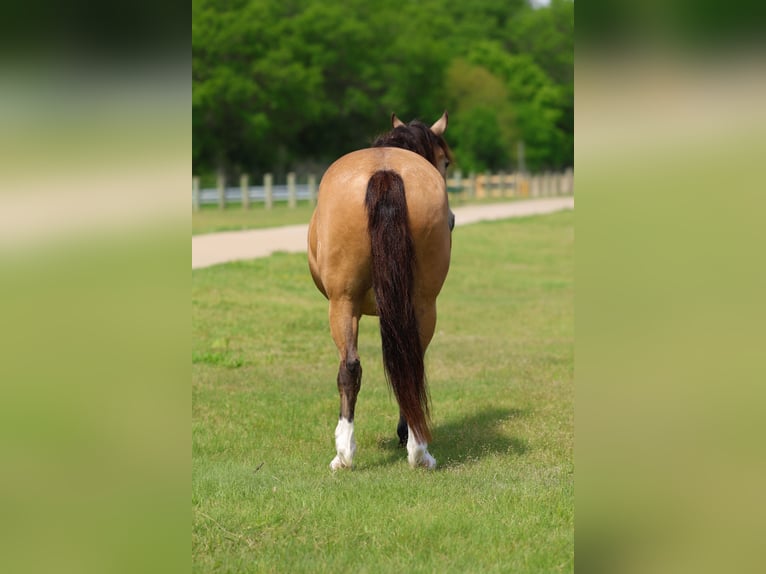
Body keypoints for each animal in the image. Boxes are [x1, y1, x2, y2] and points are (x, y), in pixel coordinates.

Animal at [307, 111, 454, 470]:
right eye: (444, 161)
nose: (452, 219)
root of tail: (385, 172)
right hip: (418, 304)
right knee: (403, 364)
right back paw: (411, 449)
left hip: (344, 303)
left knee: (353, 367)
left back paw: (350, 454)